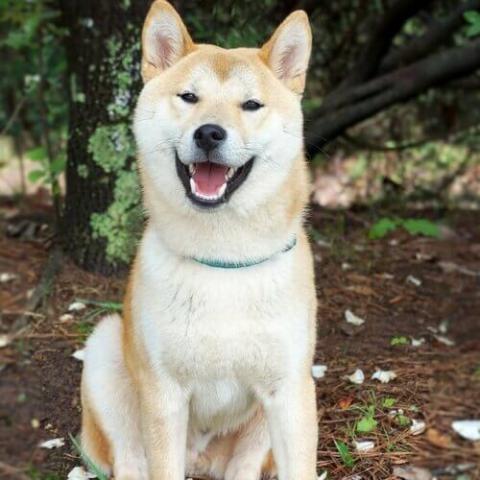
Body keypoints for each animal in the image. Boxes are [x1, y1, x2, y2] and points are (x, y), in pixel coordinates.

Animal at [80, 1, 316, 478]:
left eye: (251, 105)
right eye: (189, 97)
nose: (209, 132)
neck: (222, 260)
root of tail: (202, 462)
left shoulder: (290, 391)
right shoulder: (164, 394)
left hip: (265, 422)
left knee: (243, 467)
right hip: (105, 351)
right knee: (129, 460)